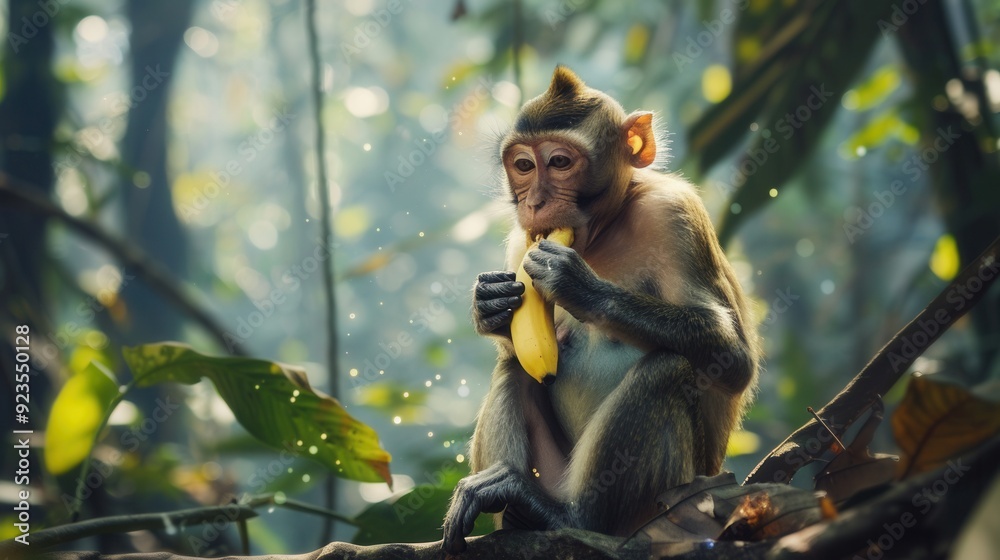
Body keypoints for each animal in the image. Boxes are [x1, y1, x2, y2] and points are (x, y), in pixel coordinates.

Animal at [442, 66, 760, 553]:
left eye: (559, 162)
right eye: (523, 166)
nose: (534, 203)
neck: (605, 230)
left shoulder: (675, 214)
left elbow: (734, 358)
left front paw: (577, 284)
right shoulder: (521, 243)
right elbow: (513, 343)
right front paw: (488, 306)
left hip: (673, 498)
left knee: (667, 370)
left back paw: (565, 516)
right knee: (515, 365)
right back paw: (512, 510)